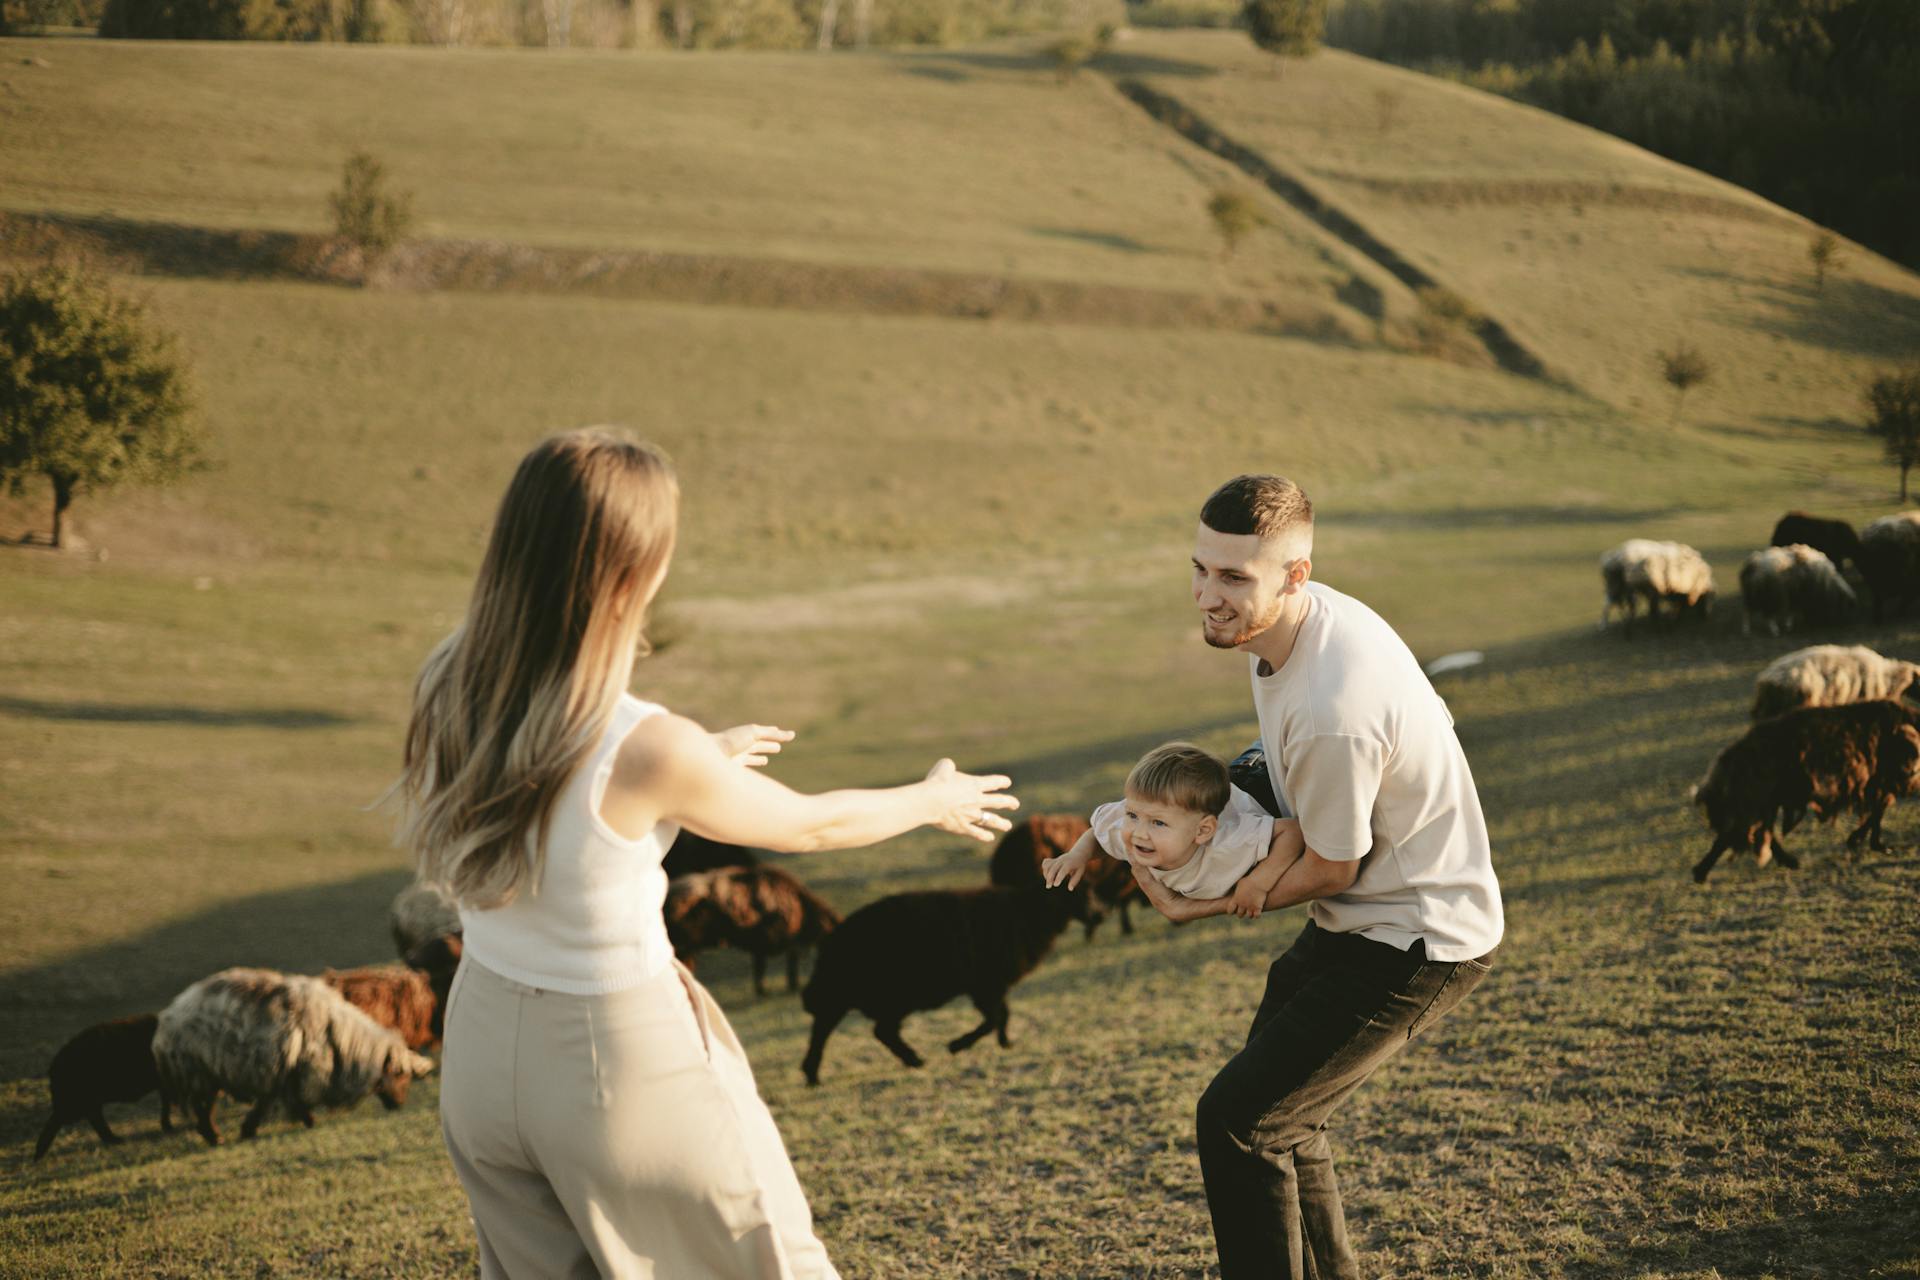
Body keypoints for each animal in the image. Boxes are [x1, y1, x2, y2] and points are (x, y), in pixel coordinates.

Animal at [32, 1013, 172, 1166]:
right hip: (74, 1104)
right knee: (60, 1120)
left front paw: (167, 1125)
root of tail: (54, 1066)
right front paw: (168, 1126)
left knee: (93, 1118)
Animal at [152, 967, 435, 1143]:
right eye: (399, 1073)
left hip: (208, 1071)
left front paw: (250, 1128)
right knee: (202, 1108)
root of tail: (169, 1016)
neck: (344, 1041)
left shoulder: (279, 1072)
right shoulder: (292, 1070)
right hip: (197, 1069)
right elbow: (286, 1102)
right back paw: (213, 1136)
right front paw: (305, 1120)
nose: (400, 1105)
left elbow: (271, 1102)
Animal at [1697, 702, 1920, 882]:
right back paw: (1702, 872)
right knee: (1740, 832)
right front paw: (1867, 842)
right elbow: (1877, 812)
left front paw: (1869, 842)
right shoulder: (1883, 782)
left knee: (1752, 831)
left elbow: (1877, 813)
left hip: (1763, 800)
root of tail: (1727, 759)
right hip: (1758, 798)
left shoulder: (1879, 784)